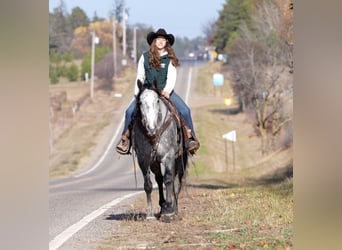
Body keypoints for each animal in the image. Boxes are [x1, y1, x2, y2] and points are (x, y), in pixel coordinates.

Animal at [132, 80, 190, 219]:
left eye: (157, 101)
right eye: (140, 102)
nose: (151, 127)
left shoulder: (169, 156)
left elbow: (168, 180)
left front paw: (169, 210)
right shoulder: (143, 159)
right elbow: (148, 184)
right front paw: (150, 213)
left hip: (180, 160)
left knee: (176, 182)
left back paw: (173, 208)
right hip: (155, 162)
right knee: (159, 179)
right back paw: (162, 205)